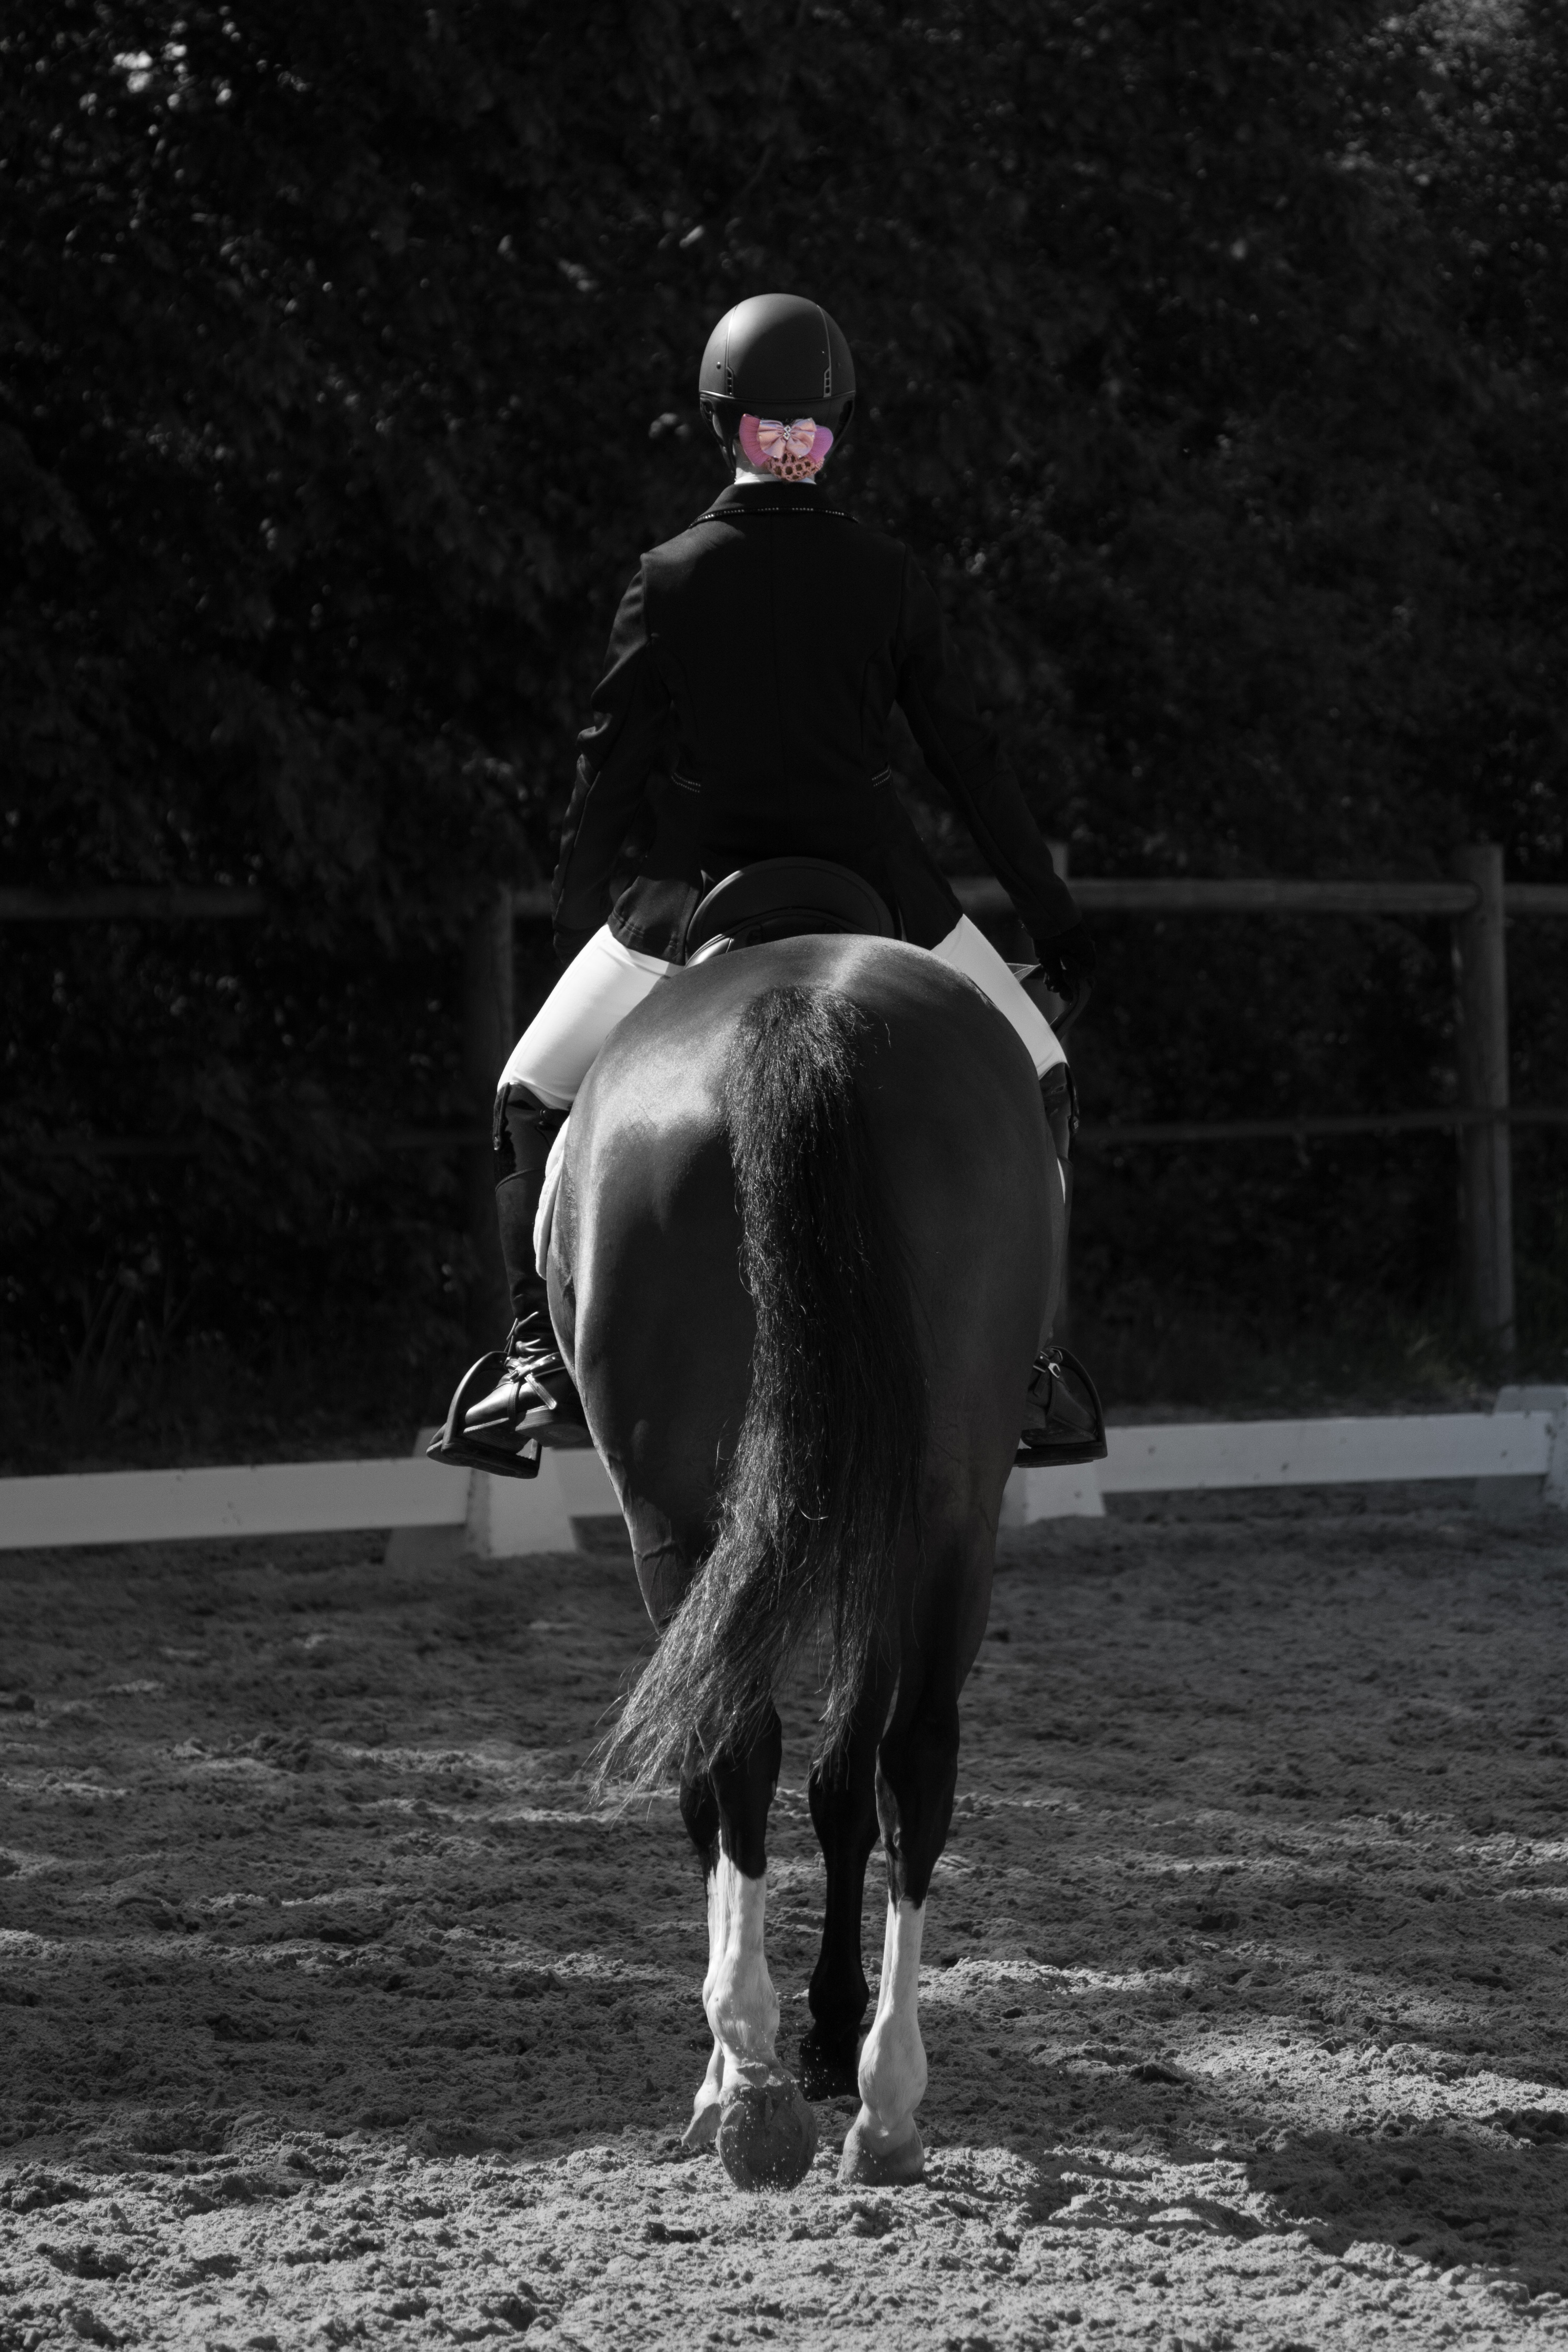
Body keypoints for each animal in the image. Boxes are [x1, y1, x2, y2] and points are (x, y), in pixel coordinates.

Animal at [547, 930, 1063, 2190]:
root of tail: (795, 1013)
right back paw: (869, 2103)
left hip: (682, 1514)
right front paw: (818, 2034)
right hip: (940, 1500)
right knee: (905, 1757)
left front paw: (776, 2045)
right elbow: (840, 1782)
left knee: (753, 1747)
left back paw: (772, 2087)